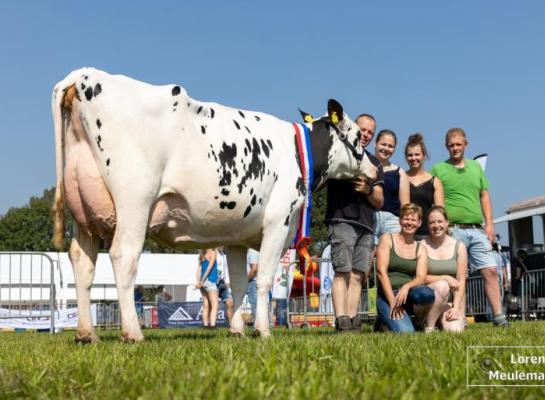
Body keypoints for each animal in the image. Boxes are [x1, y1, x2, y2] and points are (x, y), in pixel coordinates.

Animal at [52, 68, 378, 340]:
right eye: (359, 137)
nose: (375, 169)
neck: (298, 153)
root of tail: (84, 74)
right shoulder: (278, 221)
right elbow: (263, 281)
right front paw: (263, 331)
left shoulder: (237, 236)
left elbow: (238, 283)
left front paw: (237, 330)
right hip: (135, 201)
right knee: (123, 256)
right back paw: (133, 332)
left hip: (82, 210)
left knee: (82, 262)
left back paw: (86, 334)